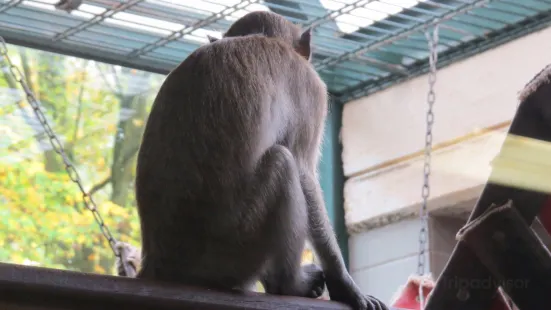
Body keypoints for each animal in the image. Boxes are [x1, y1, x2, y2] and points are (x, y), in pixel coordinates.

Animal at [135, 10, 388, 308]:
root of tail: (159, 262)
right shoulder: (312, 88)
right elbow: (304, 172)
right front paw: (345, 284)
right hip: (235, 247)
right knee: (284, 163)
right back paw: (288, 284)